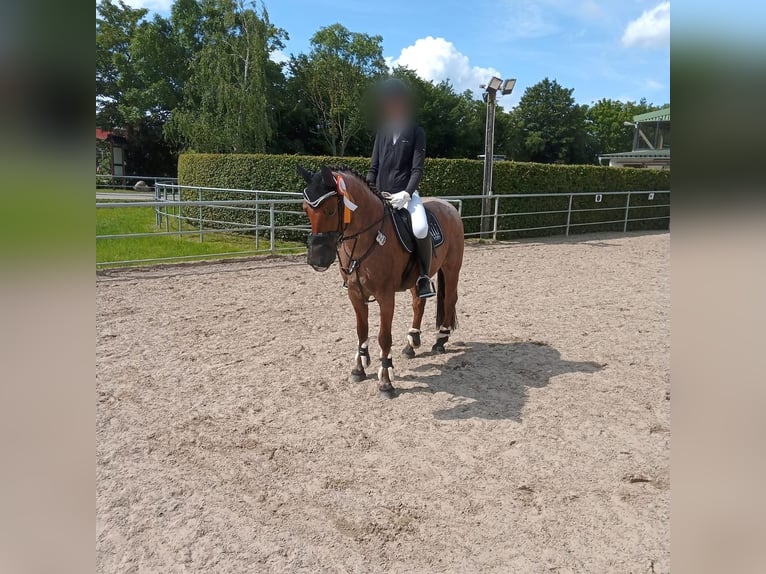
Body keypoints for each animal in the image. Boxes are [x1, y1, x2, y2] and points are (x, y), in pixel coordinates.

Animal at [298, 165, 468, 400]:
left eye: (331, 210)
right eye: (306, 209)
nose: (317, 260)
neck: (367, 237)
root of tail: (449, 207)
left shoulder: (385, 296)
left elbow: (384, 337)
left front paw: (386, 381)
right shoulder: (355, 294)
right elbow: (361, 331)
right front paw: (359, 369)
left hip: (451, 268)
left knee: (450, 299)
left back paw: (440, 341)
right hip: (418, 278)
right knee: (419, 302)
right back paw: (411, 344)